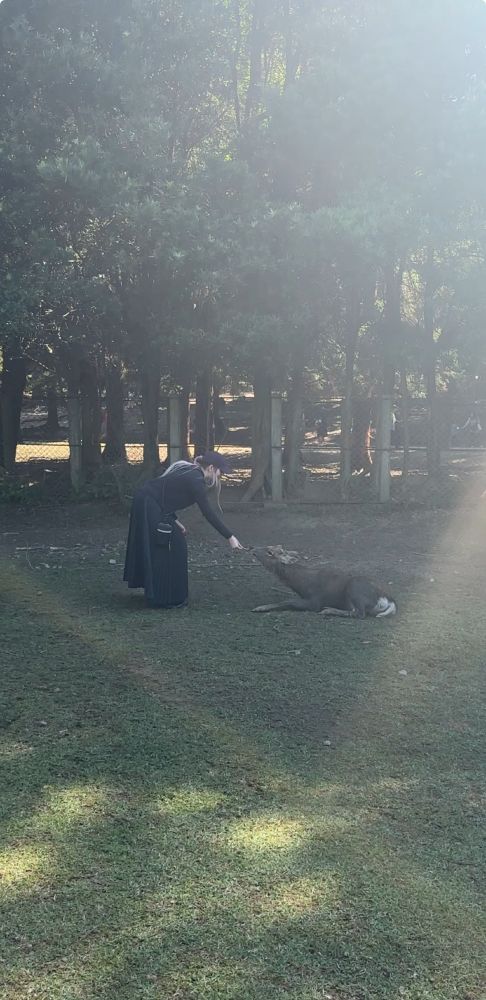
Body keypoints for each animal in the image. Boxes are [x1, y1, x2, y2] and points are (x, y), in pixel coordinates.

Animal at [251, 545, 397, 619]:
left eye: (270, 552)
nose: (253, 549)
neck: (300, 584)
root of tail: (390, 600)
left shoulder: (315, 600)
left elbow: (288, 601)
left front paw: (260, 607)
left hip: (355, 588)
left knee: (360, 613)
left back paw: (329, 610)